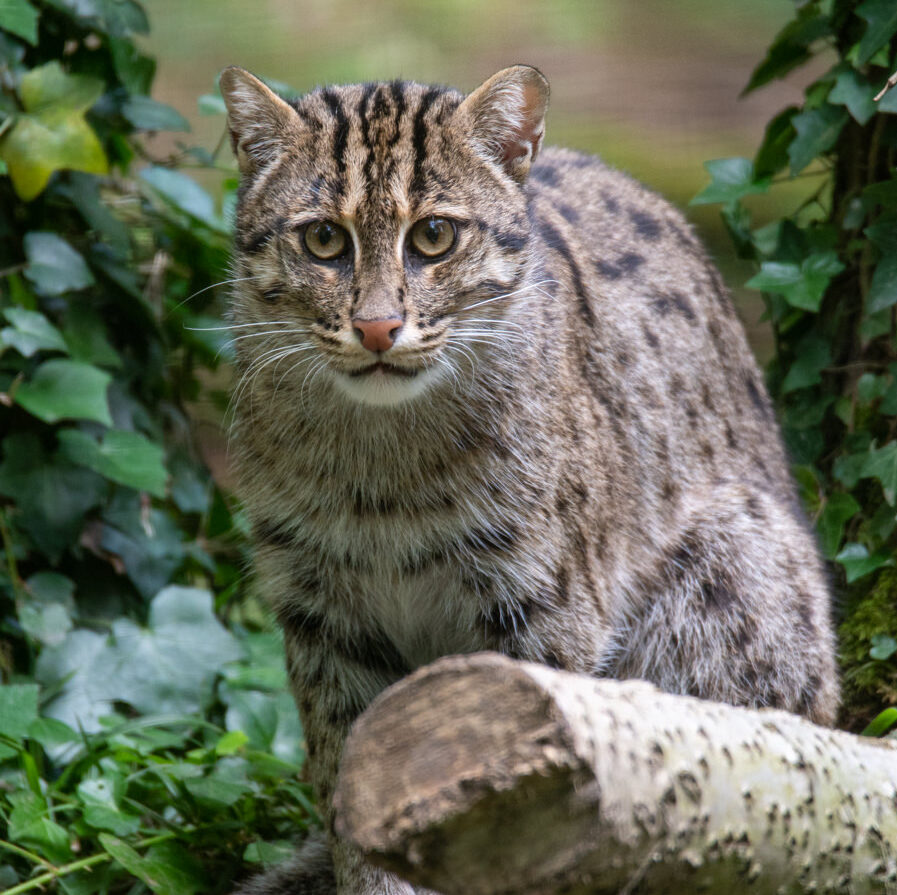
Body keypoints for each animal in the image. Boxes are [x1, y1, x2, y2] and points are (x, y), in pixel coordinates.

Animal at [220, 65, 836, 895]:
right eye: (322, 239)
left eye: (434, 236)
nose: (377, 327)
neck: (381, 468)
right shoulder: (321, 615)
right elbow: (354, 787)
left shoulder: (539, 610)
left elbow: (530, 801)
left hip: (741, 557)